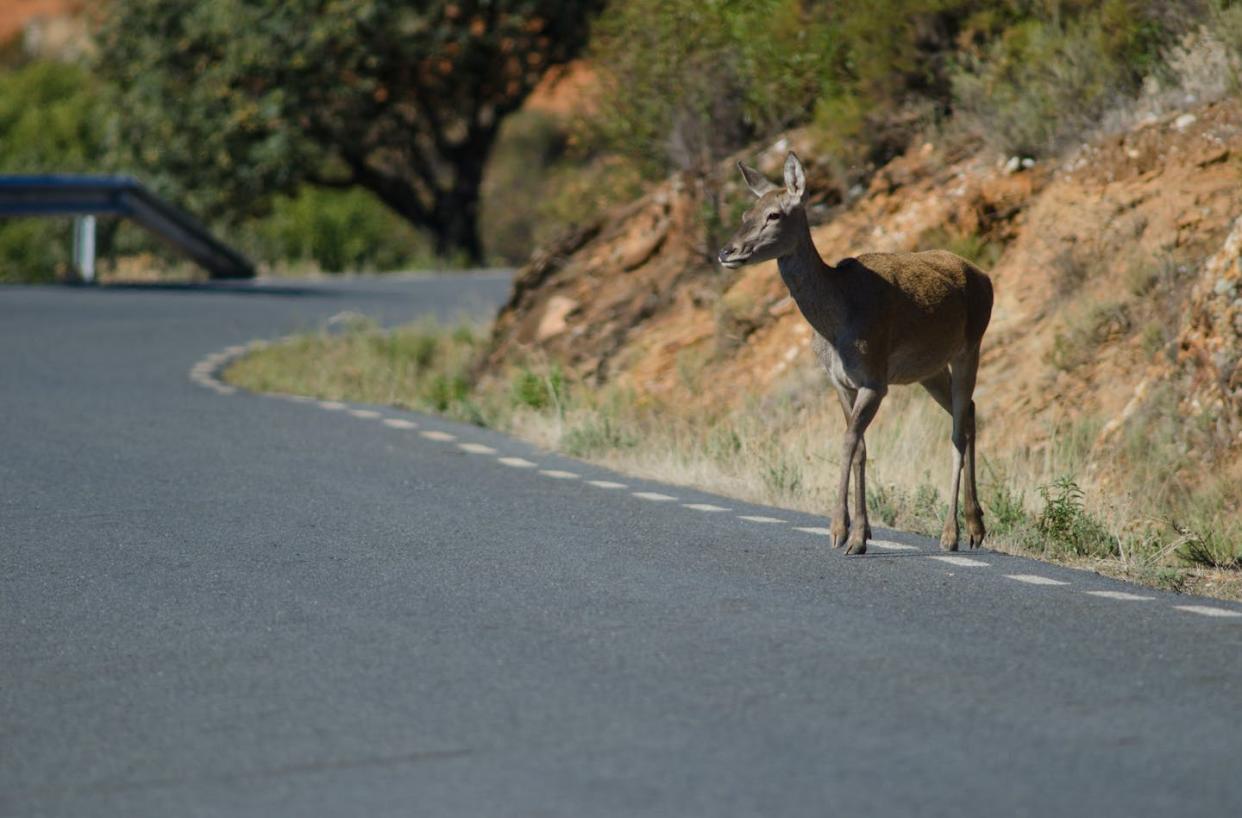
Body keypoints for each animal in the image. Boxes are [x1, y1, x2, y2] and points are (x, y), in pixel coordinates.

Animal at [720, 152, 988, 556]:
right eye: (744, 214)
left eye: (774, 215)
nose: (727, 252)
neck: (836, 324)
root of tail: (986, 277)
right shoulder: (839, 381)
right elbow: (860, 446)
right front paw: (861, 533)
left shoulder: (875, 379)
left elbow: (847, 441)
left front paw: (839, 531)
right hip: (930, 370)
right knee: (969, 412)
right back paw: (976, 526)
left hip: (970, 346)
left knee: (957, 431)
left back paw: (951, 534)